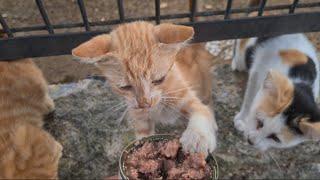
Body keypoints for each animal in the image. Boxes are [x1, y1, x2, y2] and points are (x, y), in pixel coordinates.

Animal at [72, 21, 218, 155]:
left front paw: (197, 137)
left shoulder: (185, 96)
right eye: (125, 87)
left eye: (159, 80)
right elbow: (144, 137)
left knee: (208, 100)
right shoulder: (139, 118)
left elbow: (201, 110)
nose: (145, 103)